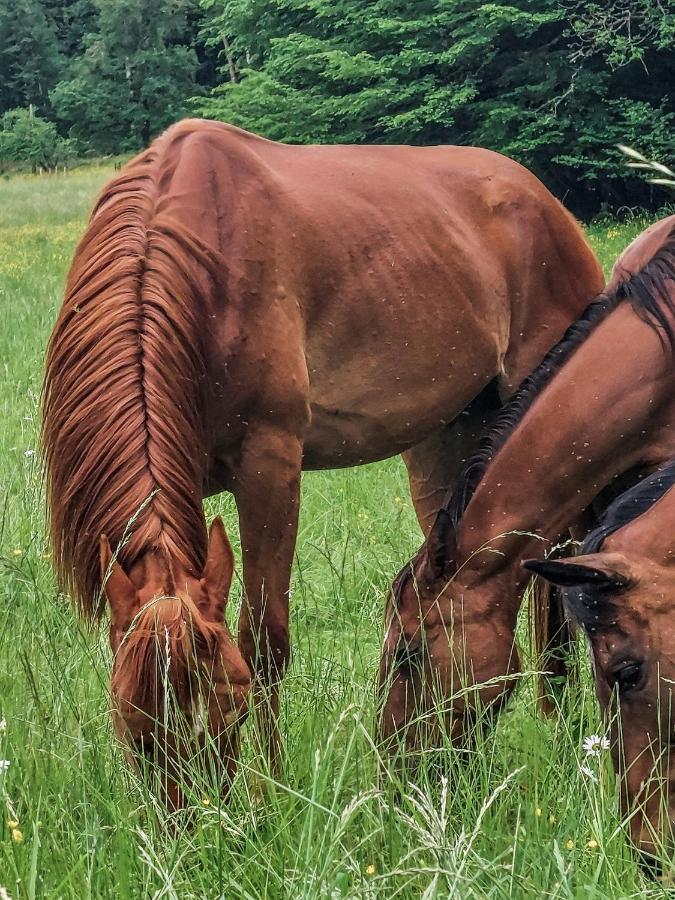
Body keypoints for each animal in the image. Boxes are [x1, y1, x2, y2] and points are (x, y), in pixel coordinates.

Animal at [42, 116, 604, 800]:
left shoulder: (270, 468)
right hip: (448, 442)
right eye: (130, 721)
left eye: (229, 700)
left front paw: (272, 787)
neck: (204, 276)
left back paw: (563, 726)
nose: (198, 822)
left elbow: (265, 640)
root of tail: (543, 201)